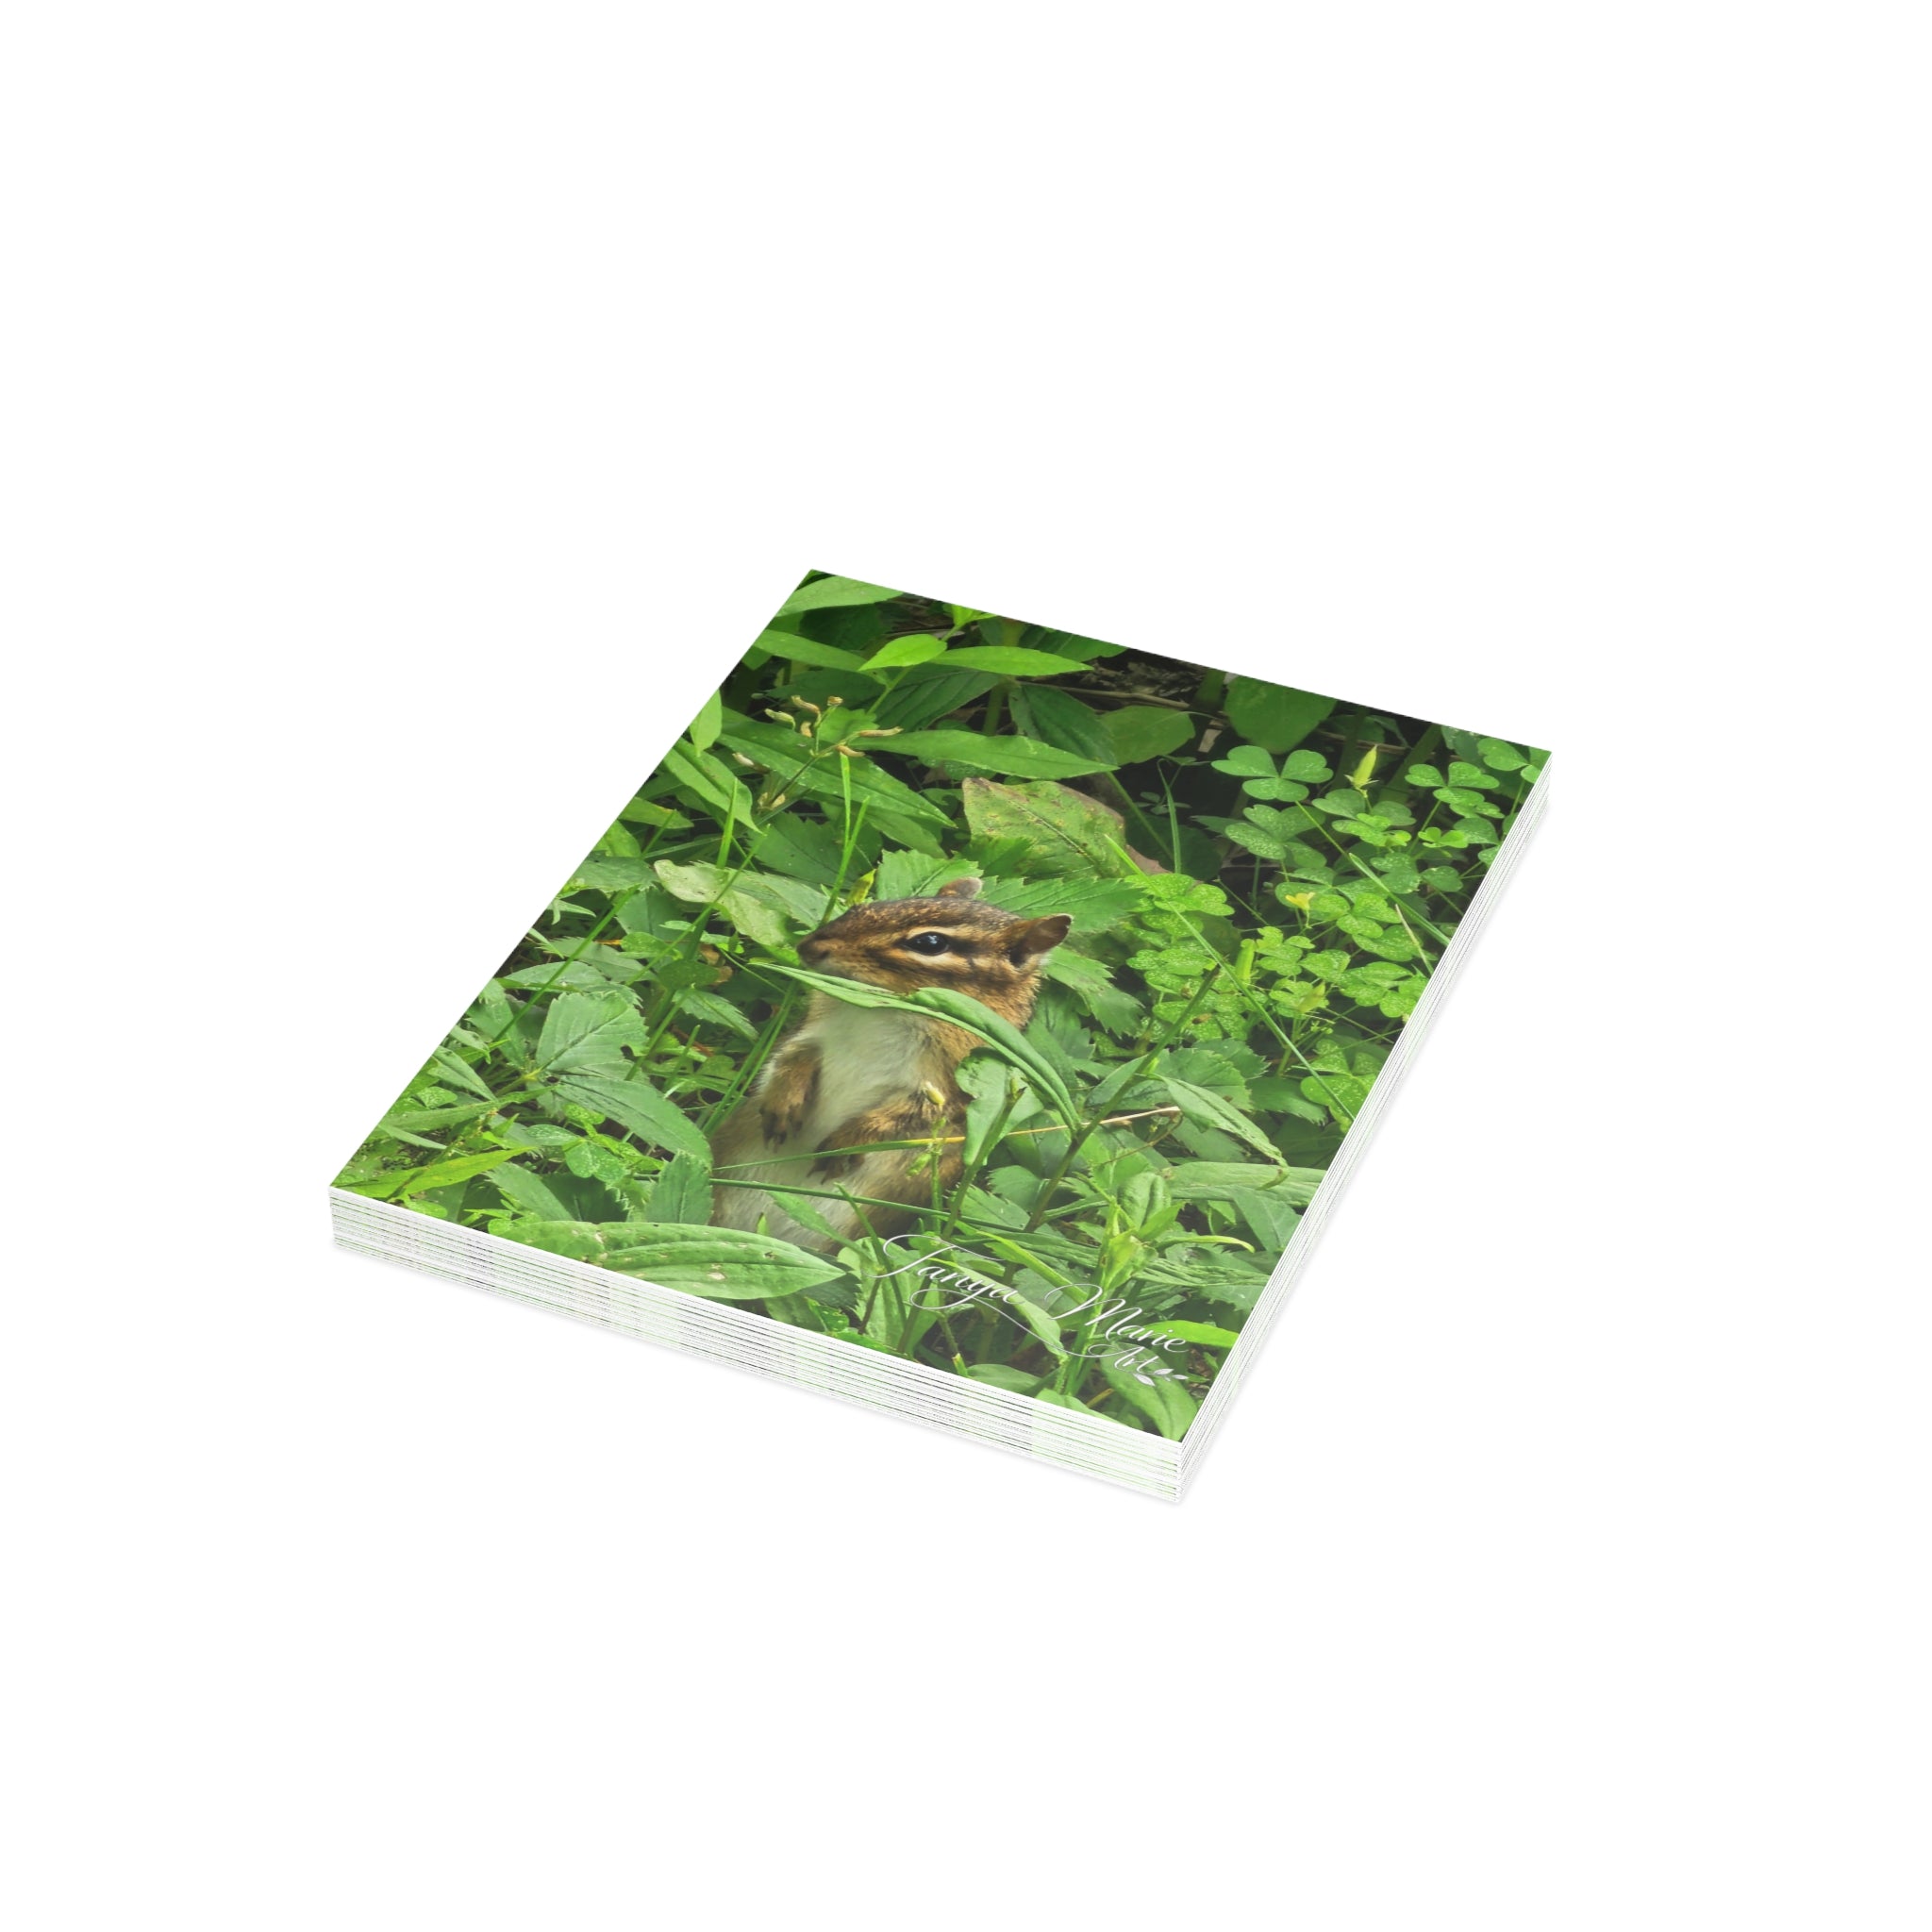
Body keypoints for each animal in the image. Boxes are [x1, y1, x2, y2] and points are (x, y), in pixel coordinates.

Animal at [709, 878, 1071, 1253]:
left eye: (930, 943)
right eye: (862, 906)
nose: (808, 946)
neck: (882, 1010)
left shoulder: (949, 1089)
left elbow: (910, 1117)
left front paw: (848, 1141)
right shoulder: (811, 1032)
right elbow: (789, 1057)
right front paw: (783, 1102)